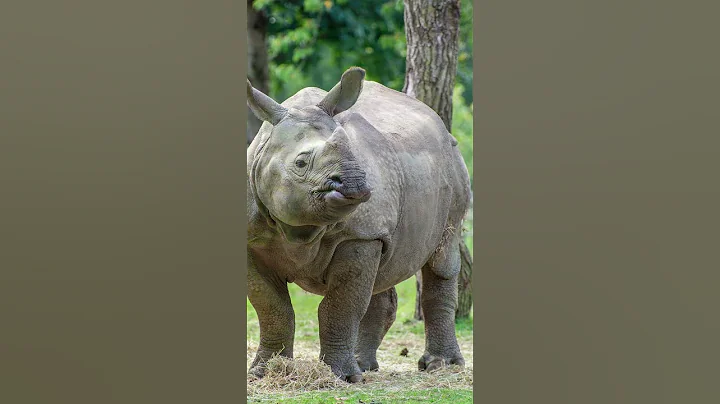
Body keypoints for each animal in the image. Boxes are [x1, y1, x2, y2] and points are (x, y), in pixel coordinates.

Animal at [247, 67, 471, 383]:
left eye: (354, 153)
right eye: (300, 163)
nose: (355, 182)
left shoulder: (360, 235)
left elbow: (340, 305)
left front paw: (341, 377)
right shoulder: (250, 240)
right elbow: (271, 306)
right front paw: (264, 372)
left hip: (452, 165)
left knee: (441, 259)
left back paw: (440, 366)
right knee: (383, 270)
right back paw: (364, 365)